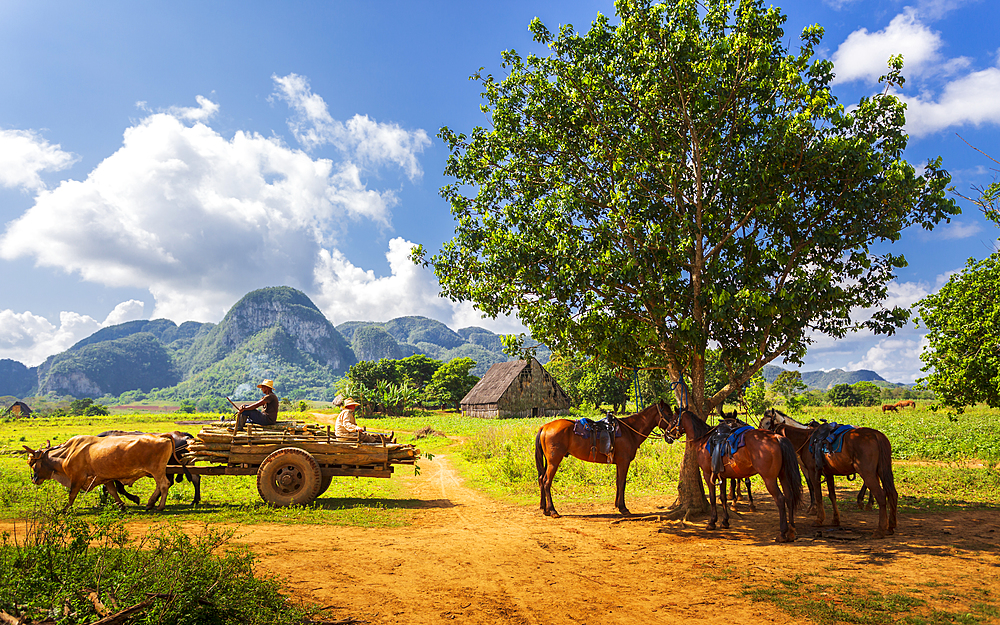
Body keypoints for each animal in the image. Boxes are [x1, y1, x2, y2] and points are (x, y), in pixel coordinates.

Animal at [532, 400, 672, 516]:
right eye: (668, 414)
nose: (672, 434)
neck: (630, 431)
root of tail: (545, 427)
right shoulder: (624, 462)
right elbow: (622, 483)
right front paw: (623, 508)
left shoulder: (619, 463)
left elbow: (618, 482)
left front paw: (617, 505)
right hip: (554, 462)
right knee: (546, 482)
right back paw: (553, 510)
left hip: (548, 462)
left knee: (541, 479)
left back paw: (544, 509)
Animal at [664, 404, 804, 540]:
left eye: (672, 420)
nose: (666, 435)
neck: (704, 439)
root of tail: (776, 436)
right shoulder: (723, 475)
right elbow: (723, 497)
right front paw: (725, 521)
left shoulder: (708, 474)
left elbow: (713, 498)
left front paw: (712, 522)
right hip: (783, 476)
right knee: (789, 497)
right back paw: (791, 531)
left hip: (769, 479)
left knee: (780, 499)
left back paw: (782, 533)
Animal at [756, 410, 900, 536]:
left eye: (767, 423)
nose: (759, 435)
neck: (805, 439)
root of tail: (877, 435)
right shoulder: (829, 473)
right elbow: (832, 495)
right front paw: (835, 520)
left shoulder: (813, 471)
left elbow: (818, 494)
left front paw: (818, 518)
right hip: (882, 470)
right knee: (892, 493)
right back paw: (890, 525)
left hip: (867, 472)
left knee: (881, 494)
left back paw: (879, 528)